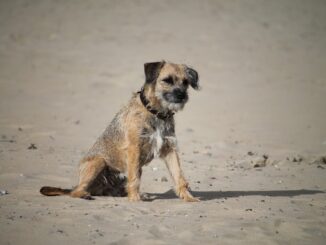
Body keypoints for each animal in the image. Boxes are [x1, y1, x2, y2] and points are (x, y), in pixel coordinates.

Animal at [40, 60, 199, 201]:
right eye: (167, 80)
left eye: (185, 82)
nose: (182, 95)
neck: (155, 113)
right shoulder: (134, 149)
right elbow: (134, 178)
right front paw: (134, 199)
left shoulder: (169, 149)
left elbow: (178, 176)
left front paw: (188, 198)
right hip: (98, 162)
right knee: (75, 191)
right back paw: (84, 194)